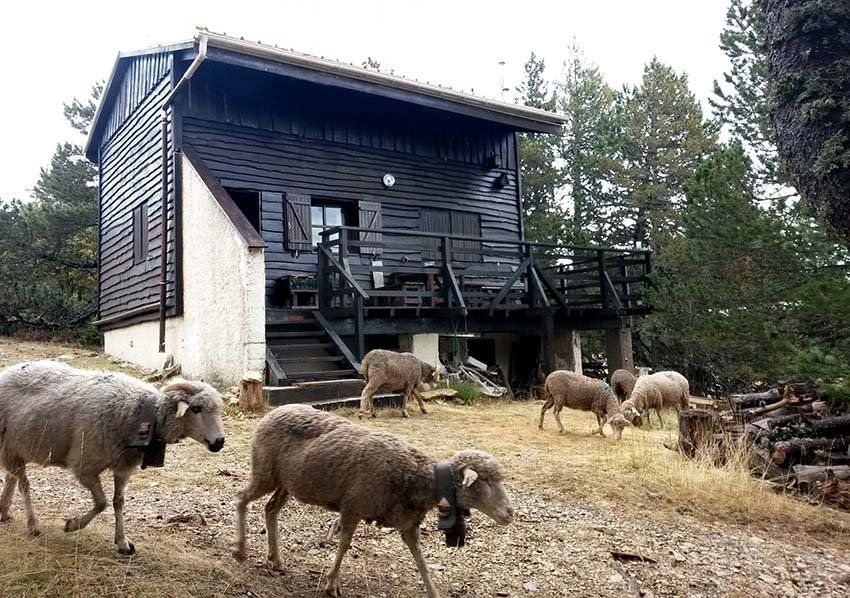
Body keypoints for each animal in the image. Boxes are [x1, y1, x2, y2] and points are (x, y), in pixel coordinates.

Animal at [0, 360, 225, 554]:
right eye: (196, 409)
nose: (220, 441)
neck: (141, 414)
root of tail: (6, 372)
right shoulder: (84, 466)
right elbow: (102, 503)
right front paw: (73, 525)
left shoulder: (123, 466)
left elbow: (118, 502)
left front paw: (123, 542)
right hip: (10, 447)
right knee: (24, 485)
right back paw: (33, 525)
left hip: (14, 449)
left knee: (11, 478)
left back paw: (4, 512)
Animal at [233, 404, 514, 598]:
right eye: (485, 482)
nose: (510, 513)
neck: (417, 477)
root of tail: (273, 411)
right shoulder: (352, 507)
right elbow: (344, 545)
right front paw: (331, 583)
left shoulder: (407, 524)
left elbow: (421, 560)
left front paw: (433, 591)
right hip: (265, 472)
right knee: (241, 499)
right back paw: (240, 550)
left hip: (286, 483)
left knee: (270, 510)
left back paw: (276, 560)